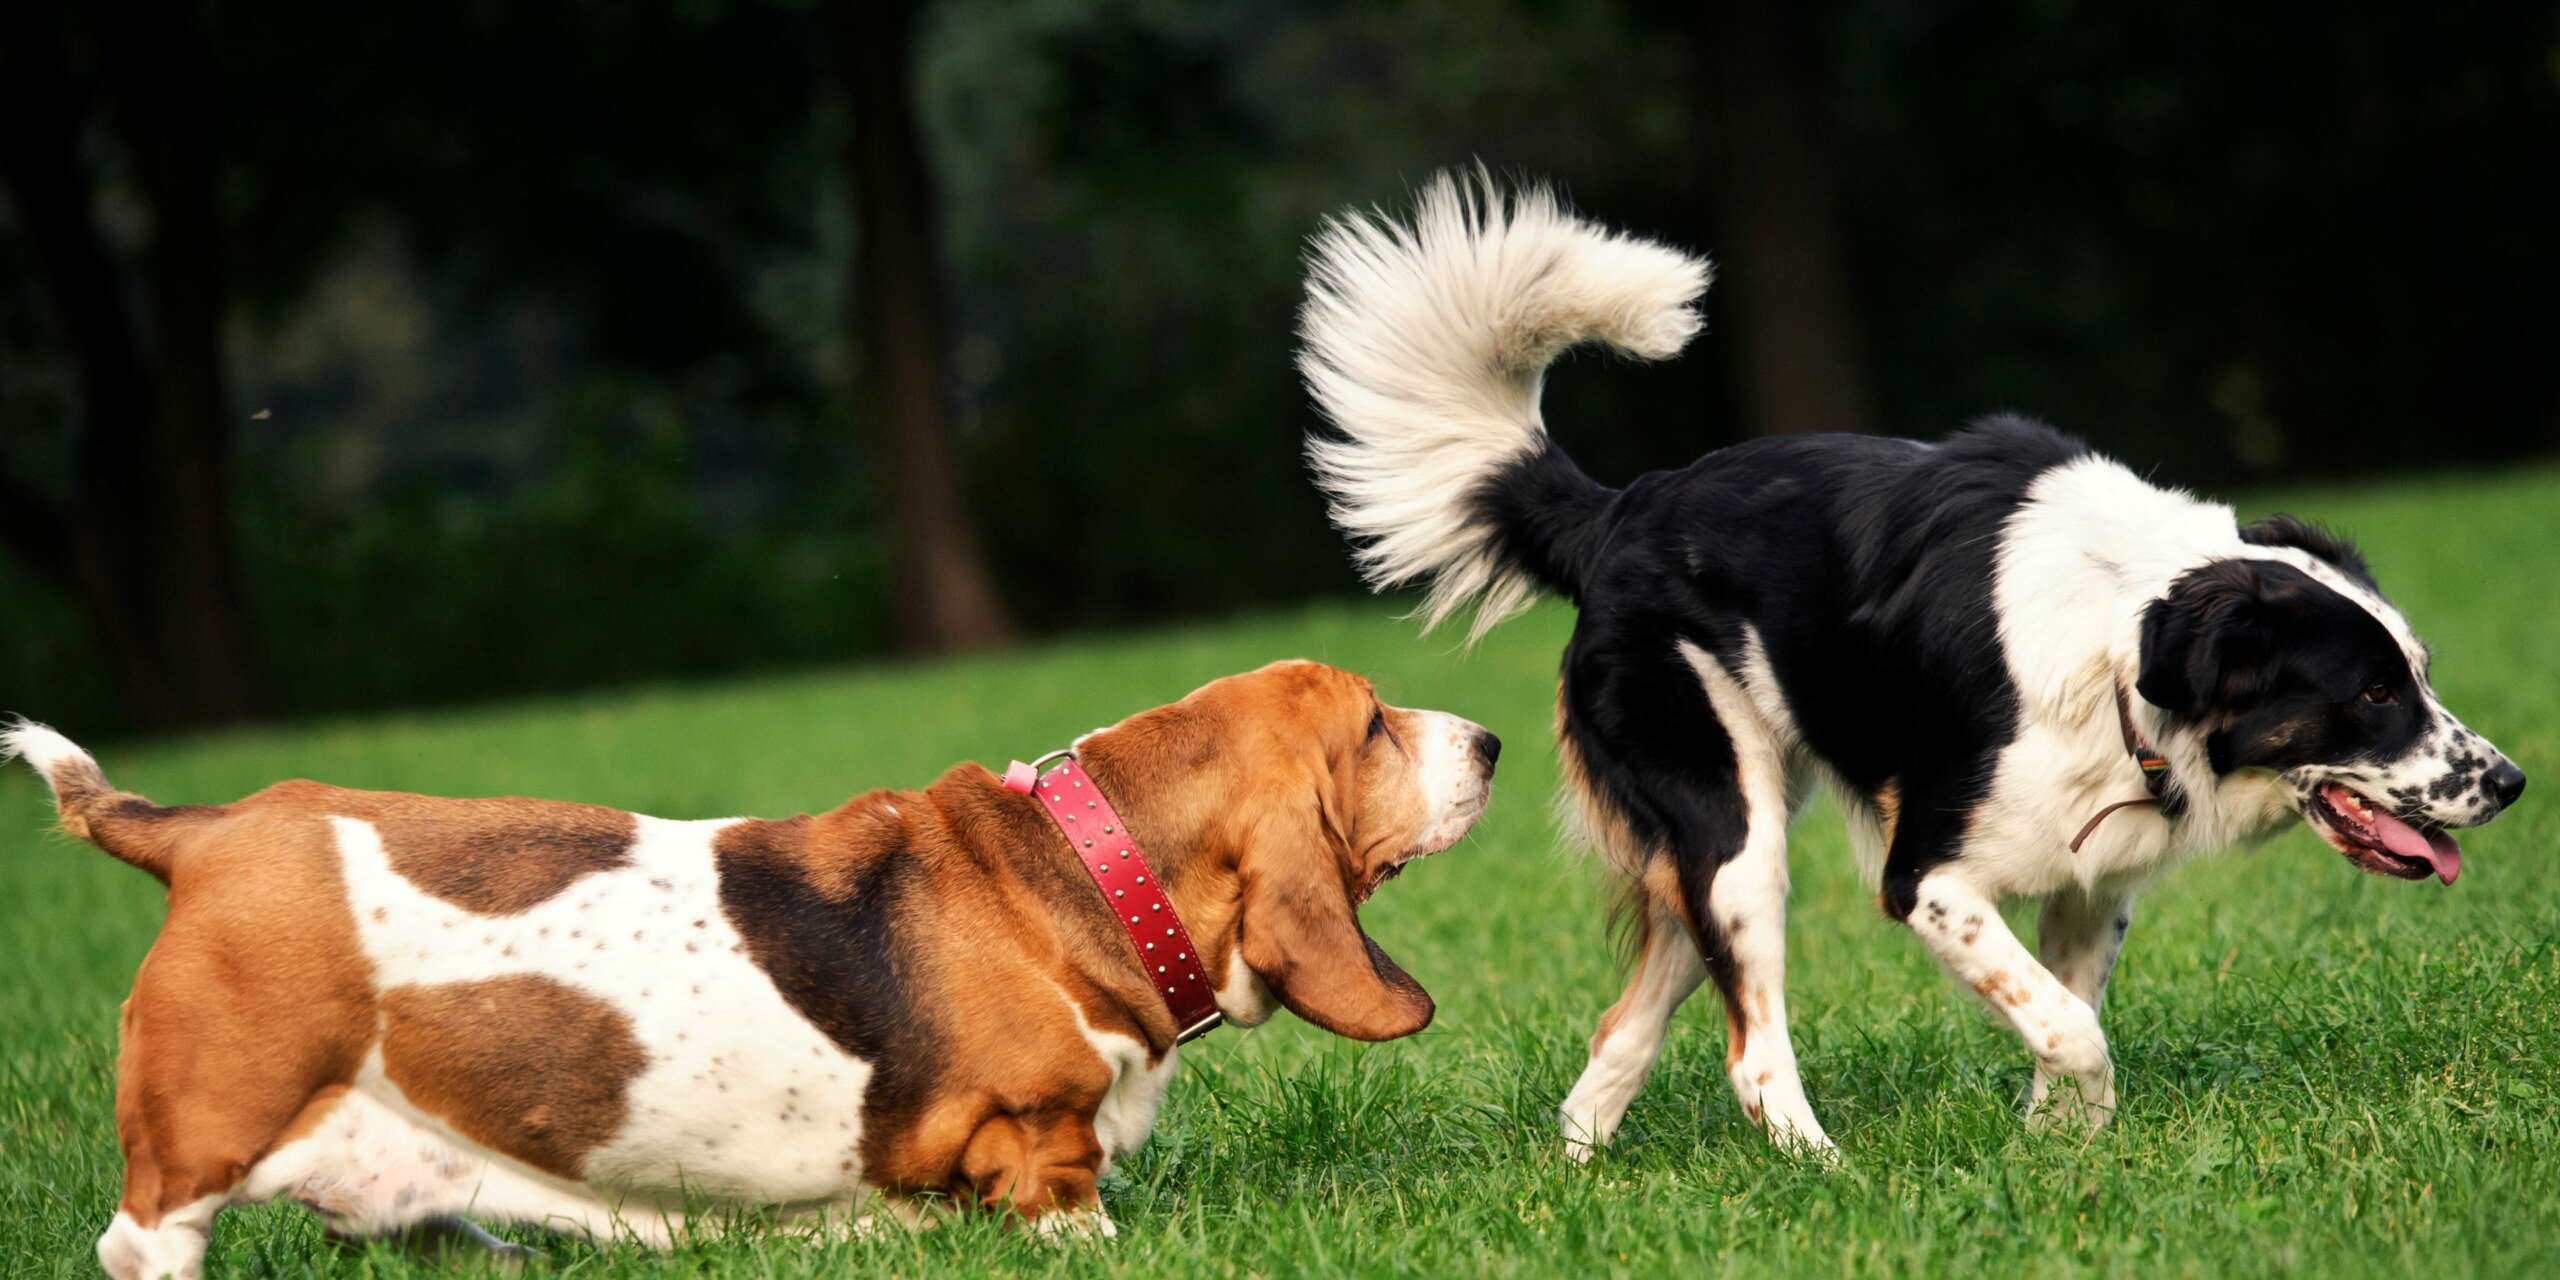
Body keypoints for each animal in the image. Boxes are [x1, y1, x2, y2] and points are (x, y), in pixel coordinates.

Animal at [10, 660, 1495, 1280]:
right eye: (1373, 724)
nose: (1487, 738)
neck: (1083, 858)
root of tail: (202, 832)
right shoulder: (1040, 1137)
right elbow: (1071, 1206)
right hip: (208, 1137)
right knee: (143, 1242)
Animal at [1300, 170, 2519, 1152]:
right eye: (2372, 692)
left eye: (2418, 671)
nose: (2510, 783)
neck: (2127, 646)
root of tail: (1617, 514)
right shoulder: (1928, 879)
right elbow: (2074, 1028)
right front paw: (2066, 1140)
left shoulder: (2092, 881)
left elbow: (2066, 1018)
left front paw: (2061, 1154)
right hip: (1735, 836)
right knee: (1751, 1056)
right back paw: (1823, 1172)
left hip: (1712, 854)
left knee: (1620, 1032)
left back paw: (1585, 1165)